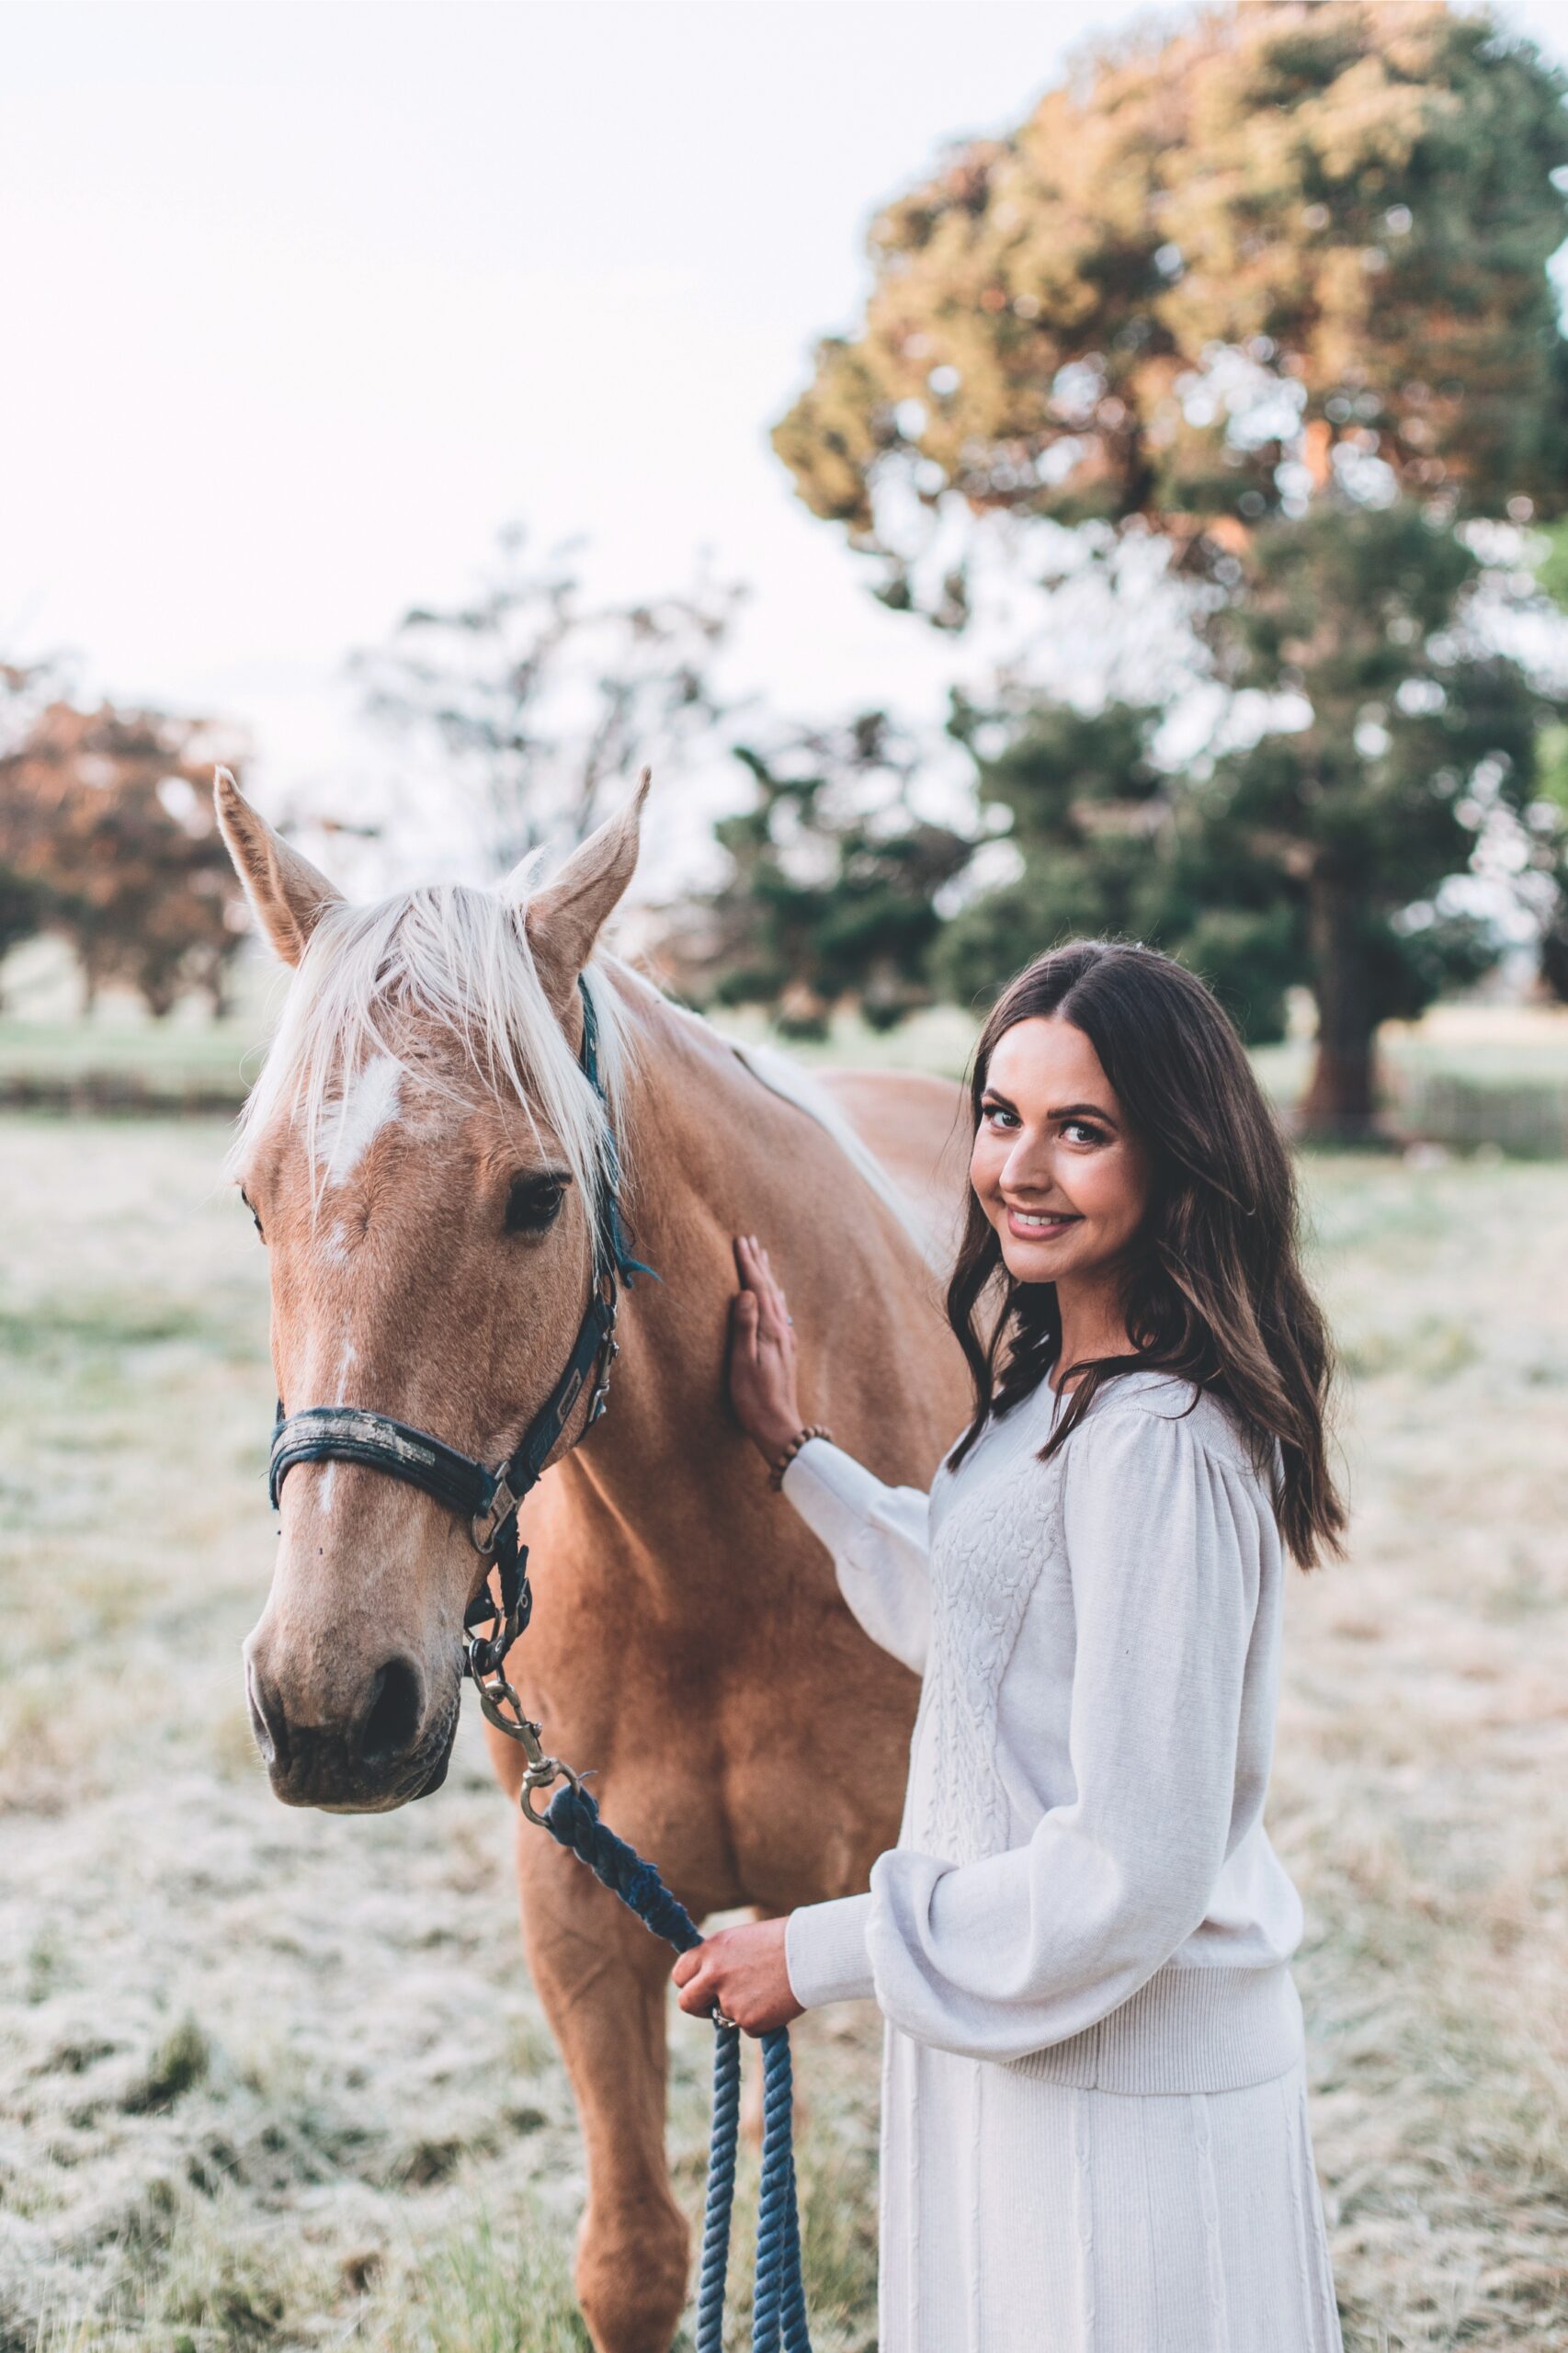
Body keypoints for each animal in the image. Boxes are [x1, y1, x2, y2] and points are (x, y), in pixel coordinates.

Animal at [214, 771, 970, 2353]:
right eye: (256, 1200)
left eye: (536, 1196)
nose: (326, 1703)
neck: (718, 1570)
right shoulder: (580, 1908)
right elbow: (630, 2265)